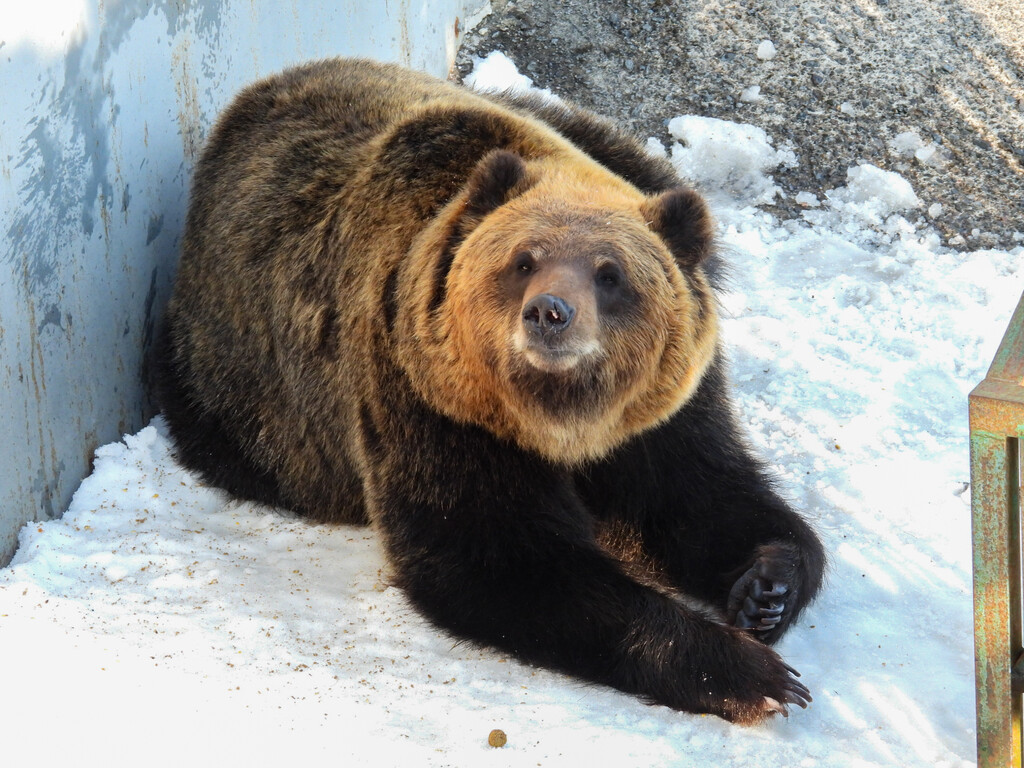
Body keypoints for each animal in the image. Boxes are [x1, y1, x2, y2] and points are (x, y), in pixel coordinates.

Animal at [156, 58, 825, 725]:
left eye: (610, 274)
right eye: (524, 260)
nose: (549, 312)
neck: (561, 419)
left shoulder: (659, 415)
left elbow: (701, 493)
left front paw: (767, 585)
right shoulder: (428, 400)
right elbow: (496, 559)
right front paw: (752, 672)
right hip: (239, 392)